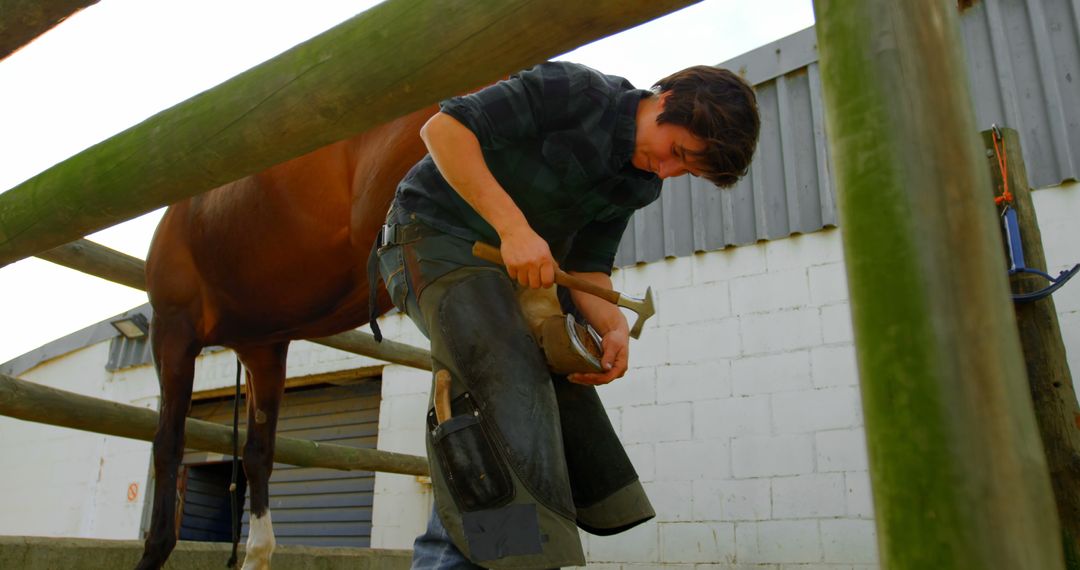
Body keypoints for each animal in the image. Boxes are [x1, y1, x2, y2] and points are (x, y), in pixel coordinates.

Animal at [135, 103, 434, 570]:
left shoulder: (172, 331)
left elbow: (168, 444)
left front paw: (154, 551)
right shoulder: (262, 350)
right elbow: (258, 454)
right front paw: (256, 555)